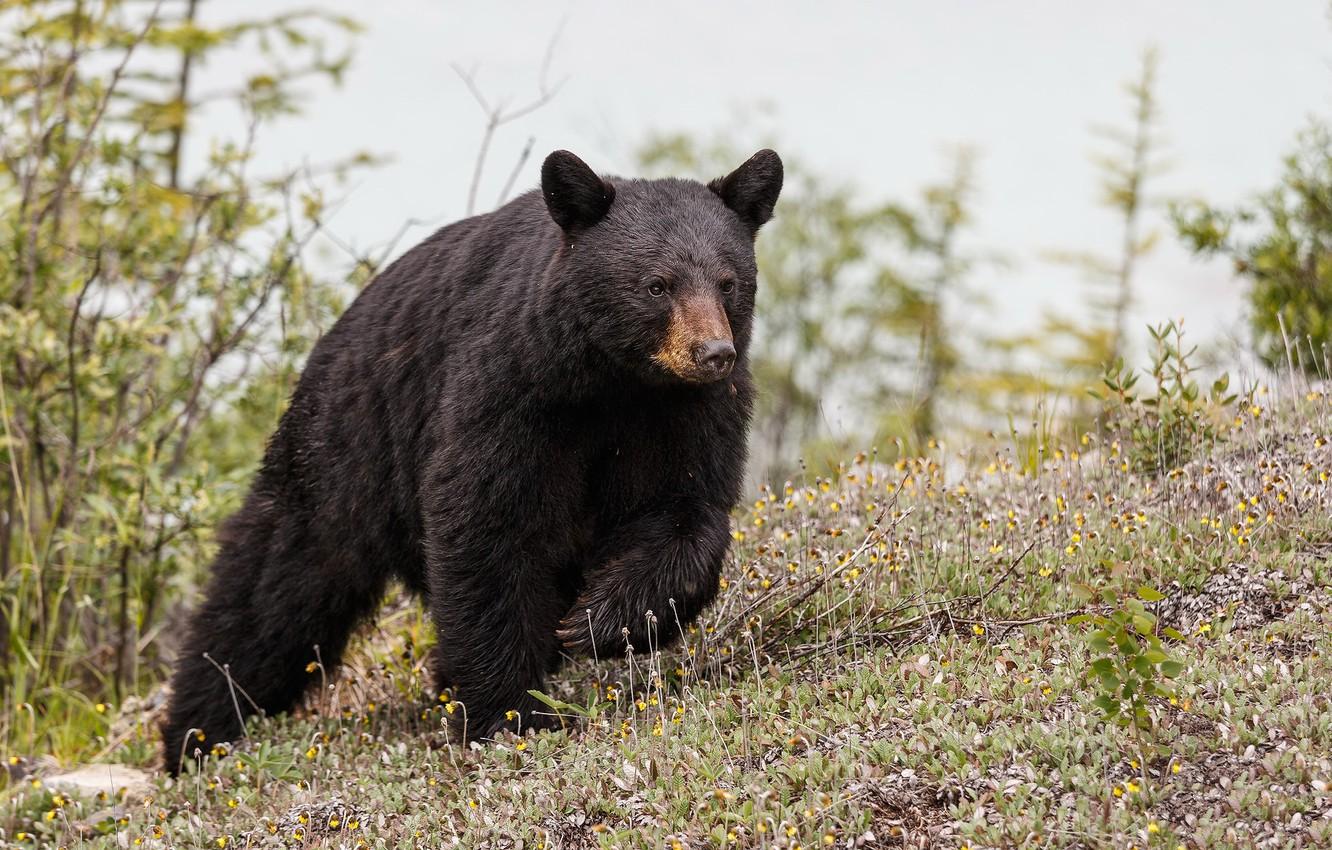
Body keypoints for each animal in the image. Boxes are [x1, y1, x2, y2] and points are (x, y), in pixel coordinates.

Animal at [160, 147, 783, 774]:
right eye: (657, 285)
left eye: (728, 282)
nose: (713, 353)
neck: (615, 383)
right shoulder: (510, 385)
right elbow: (484, 523)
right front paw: (510, 714)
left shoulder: (691, 412)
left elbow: (687, 511)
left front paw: (601, 620)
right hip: (345, 450)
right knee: (275, 590)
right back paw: (198, 732)